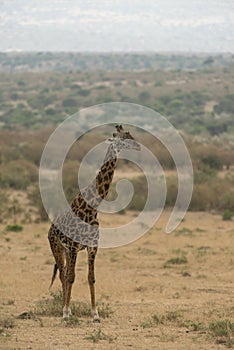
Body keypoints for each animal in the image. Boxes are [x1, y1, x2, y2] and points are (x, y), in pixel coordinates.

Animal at [46, 125, 140, 322]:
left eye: (130, 134)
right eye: (122, 137)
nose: (138, 146)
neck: (92, 206)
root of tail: (50, 229)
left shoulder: (92, 246)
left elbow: (91, 277)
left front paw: (95, 314)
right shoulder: (74, 246)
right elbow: (71, 277)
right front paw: (66, 312)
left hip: (67, 251)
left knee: (65, 273)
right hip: (57, 248)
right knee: (63, 274)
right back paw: (65, 310)